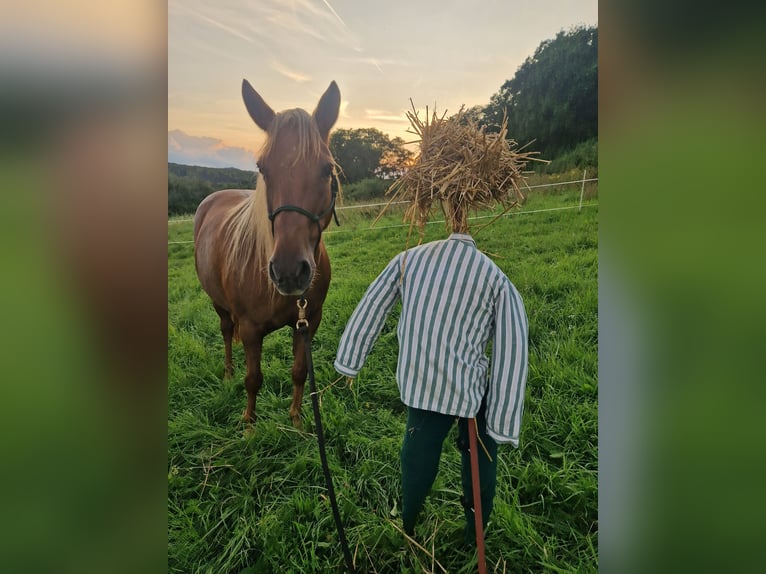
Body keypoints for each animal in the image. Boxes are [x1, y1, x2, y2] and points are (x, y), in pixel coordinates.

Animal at [193, 79, 341, 426]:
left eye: (326, 168)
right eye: (262, 167)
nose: (289, 271)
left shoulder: (309, 321)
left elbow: (299, 372)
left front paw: (297, 419)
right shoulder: (249, 329)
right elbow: (253, 379)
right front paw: (248, 424)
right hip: (218, 304)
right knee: (225, 333)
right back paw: (228, 373)